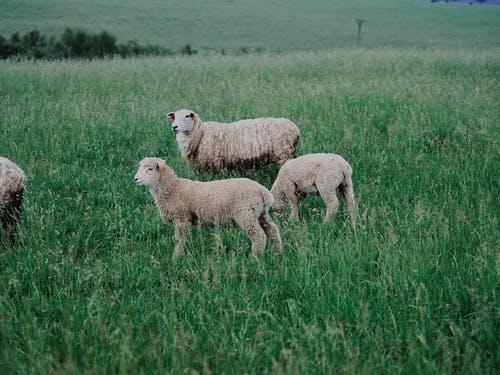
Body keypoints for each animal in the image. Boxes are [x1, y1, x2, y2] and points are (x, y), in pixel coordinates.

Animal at [133, 156, 282, 258]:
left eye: (150, 169)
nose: (135, 179)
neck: (173, 188)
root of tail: (263, 192)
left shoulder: (181, 218)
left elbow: (179, 240)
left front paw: (176, 257)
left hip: (246, 214)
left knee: (259, 236)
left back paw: (254, 258)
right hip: (260, 213)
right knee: (272, 231)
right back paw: (277, 253)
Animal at [166, 108, 298, 173]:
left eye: (187, 116)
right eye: (174, 117)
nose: (174, 127)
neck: (201, 134)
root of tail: (294, 128)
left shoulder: (215, 163)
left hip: (284, 154)